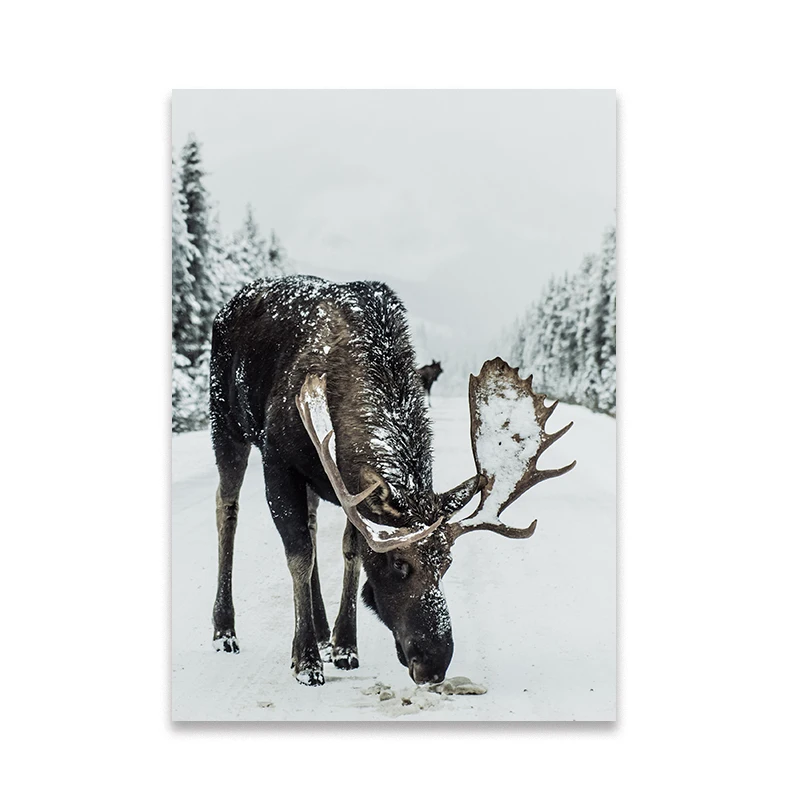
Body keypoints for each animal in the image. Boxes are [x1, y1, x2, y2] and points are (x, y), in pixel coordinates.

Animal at [209, 275, 575, 687]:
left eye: (447, 563)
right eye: (400, 564)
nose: (434, 663)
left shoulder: (346, 486)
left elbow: (350, 551)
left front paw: (344, 645)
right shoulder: (278, 458)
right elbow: (299, 554)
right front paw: (305, 661)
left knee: (312, 523)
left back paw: (321, 629)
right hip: (226, 423)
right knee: (227, 508)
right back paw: (225, 631)